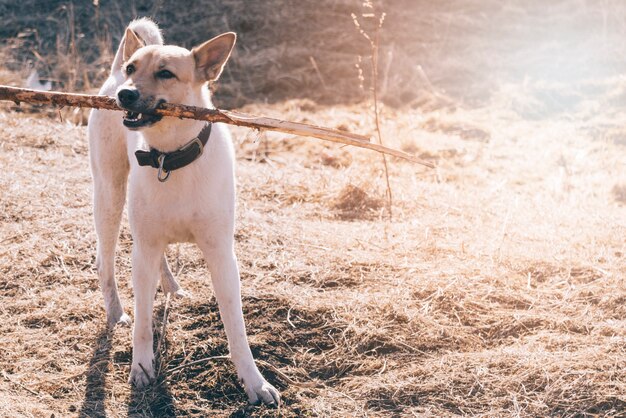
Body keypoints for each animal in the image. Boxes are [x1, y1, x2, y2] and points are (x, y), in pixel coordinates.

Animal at [87, 18, 280, 404]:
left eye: (165, 73)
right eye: (134, 69)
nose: (125, 95)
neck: (170, 156)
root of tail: (112, 73)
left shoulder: (221, 254)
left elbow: (236, 326)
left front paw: (254, 382)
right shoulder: (144, 247)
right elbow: (144, 322)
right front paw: (141, 366)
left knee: (154, 260)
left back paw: (171, 286)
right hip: (110, 197)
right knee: (107, 262)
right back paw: (117, 312)